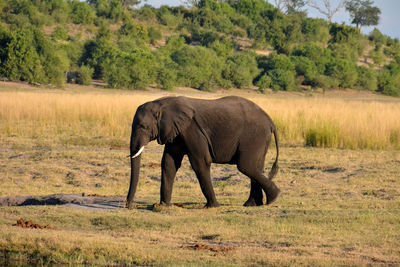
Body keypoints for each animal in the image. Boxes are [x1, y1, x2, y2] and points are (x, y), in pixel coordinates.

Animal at [126, 96, 280, 209]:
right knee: (256, 167)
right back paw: (252, 204)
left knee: (246, 166)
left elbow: (200, 162)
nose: (129, 205)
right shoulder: (175, 132)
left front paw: (212, 206)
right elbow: (169, 163)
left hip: (254, 136)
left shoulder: (191, 129)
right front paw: (163, 206)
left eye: (143, 126)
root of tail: (271, 122)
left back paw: (273, 198)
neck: (162, 103)